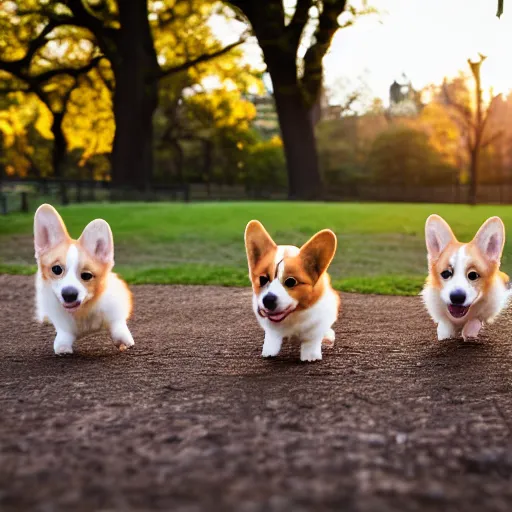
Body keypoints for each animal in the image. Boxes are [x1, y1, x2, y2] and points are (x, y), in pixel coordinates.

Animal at [34, 202, 134, 354]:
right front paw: (63, 348)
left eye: (86, 275)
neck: (83, 310)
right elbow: (63, 334)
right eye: (56, 269)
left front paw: (124, 341)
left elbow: (117, 324)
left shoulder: (115, 305)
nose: (69, 294)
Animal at [244, 220, 340, 360]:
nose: (268, 300)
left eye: (291, 281)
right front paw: (269, 351)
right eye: (262, 279)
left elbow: (312, 338)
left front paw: (310, 356)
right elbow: (272, 336)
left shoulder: (319, 320)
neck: (292, 315)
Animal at [422, 214, 510, 342]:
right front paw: (445, 334)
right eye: (446, 273)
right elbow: (445, 324)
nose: (457, 297)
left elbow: (475, 320)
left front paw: (469, 332)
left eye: (473, 275)